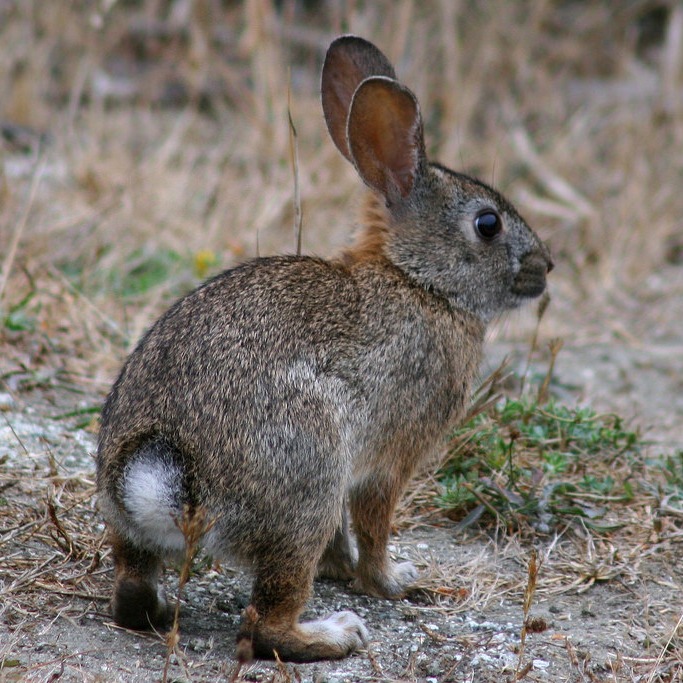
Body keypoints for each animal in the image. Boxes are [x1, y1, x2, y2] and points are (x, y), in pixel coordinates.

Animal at [96, 34, 552, 664]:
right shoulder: (387, 462)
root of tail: (164, 474)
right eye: (488, 225)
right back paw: (336, 634)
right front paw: (392, 581)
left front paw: (344, 570)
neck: (419, 282)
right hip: (307, 478)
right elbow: (374, 527)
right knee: (265, 625)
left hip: (147, 524)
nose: (546, 267)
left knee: (133, 595)